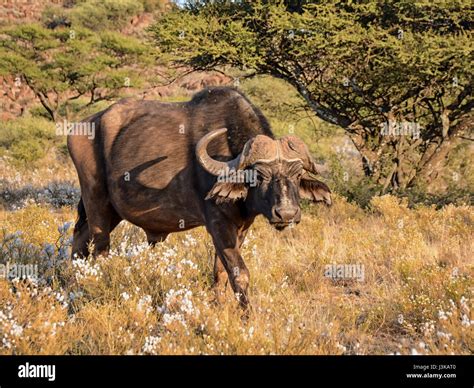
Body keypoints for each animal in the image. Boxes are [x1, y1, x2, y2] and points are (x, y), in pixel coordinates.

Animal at [68, 88, 332, 310]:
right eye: (260, 174)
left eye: (297, 175)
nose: (286, 213)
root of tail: (82, 127)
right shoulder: (217, 224)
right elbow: (239, 272)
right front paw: (247, 315)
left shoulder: (241, 227)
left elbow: (221, 272)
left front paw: (220, 306)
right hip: (97, 204)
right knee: (100, 250)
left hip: (112, 211)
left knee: (79, 241)